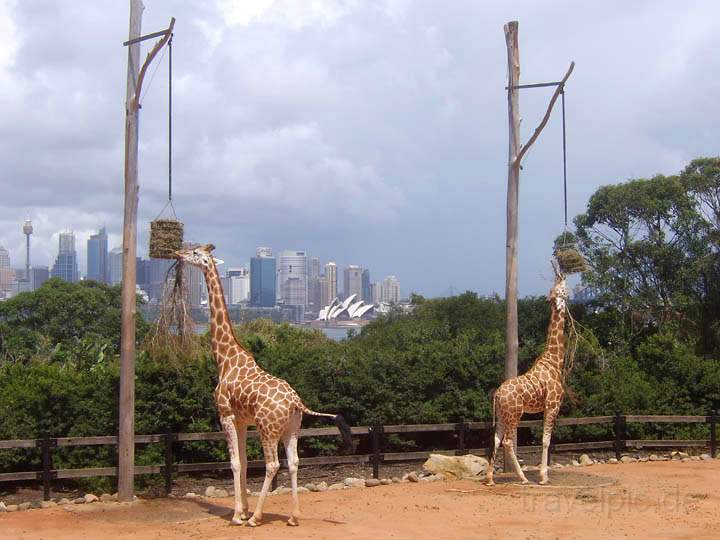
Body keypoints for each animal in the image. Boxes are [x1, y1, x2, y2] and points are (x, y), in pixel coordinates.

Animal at [175, 245, 354, 528]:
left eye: (194, 252)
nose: (177, 253)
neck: (225, 359)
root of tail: (296, 402)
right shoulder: (241, 420)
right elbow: (245, 463)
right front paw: (242, 510)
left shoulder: (225, 414)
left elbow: (235, 463)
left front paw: (238, 515)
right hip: (292, 428)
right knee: (294, 462)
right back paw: (293, 516)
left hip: (268, 428)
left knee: (272, 465)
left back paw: (256, 518)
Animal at [486, 266, 572, 486]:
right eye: (562, 288)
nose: (570, 294)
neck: (554, 361)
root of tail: (497, 395)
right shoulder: (553, 404)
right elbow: (546, 440)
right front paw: (543, 477)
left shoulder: (548, 407)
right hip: (514, 414)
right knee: (508, 441)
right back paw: (523, 477)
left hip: (502, 414)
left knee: (496, 439)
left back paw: (490, 478)